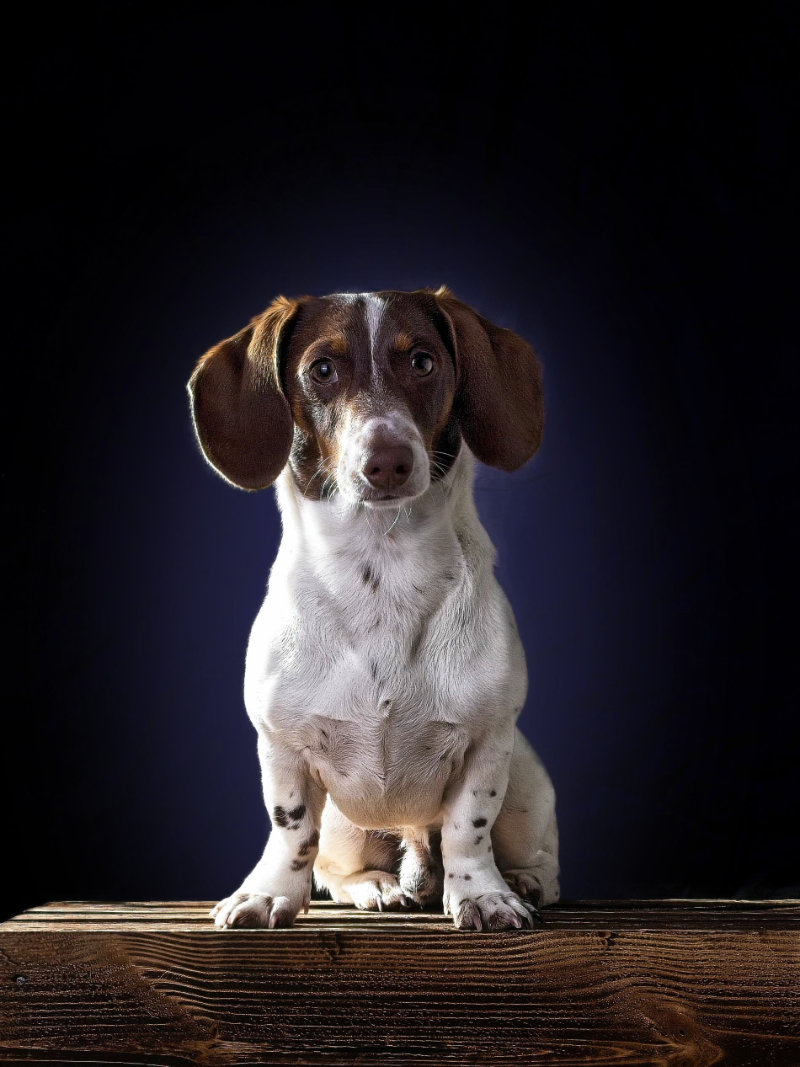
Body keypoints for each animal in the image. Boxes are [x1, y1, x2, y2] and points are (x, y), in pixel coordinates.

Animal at [188, 288, 563, 930]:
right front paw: (269, 894)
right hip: (347, 825)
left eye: (422, 361)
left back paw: (523, 879)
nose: (387, 459)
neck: (380, 570)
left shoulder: (488, 744)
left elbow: (468, 829)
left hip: (528, 788)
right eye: (322, 370)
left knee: (532, 857)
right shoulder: (281, 747)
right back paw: (378, 886)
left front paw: (482, 894)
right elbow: (291, 832)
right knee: (335, 865)